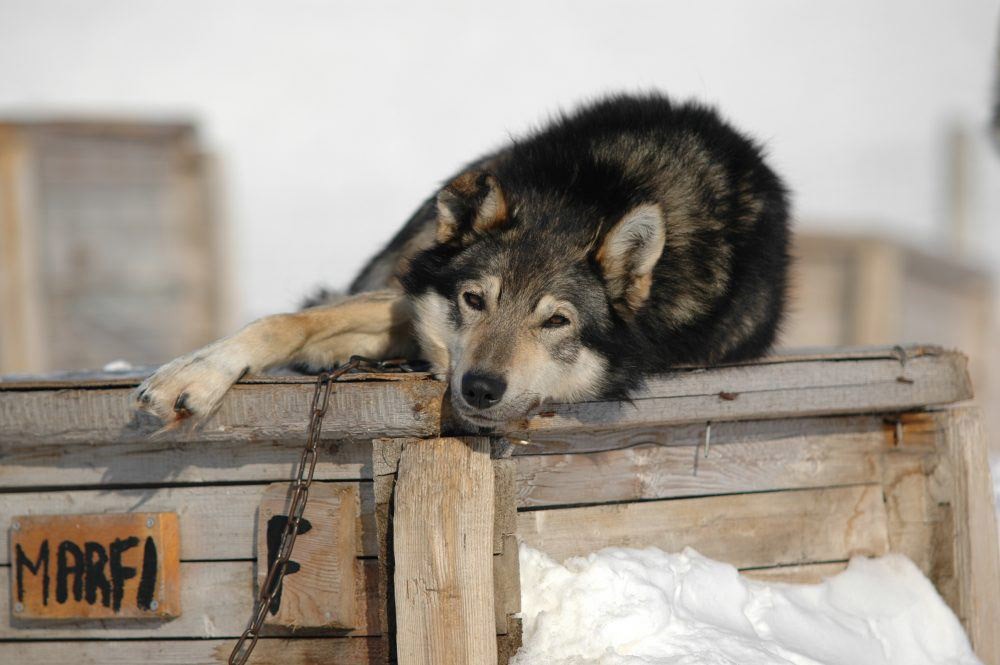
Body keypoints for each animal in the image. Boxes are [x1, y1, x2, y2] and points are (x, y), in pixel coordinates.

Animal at [135, 93, 788, 430]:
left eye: (557, 321)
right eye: (475, 301)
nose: (479, 388)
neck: (590, 198)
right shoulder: (416, 293)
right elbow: (287, 320)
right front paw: (194, 374)